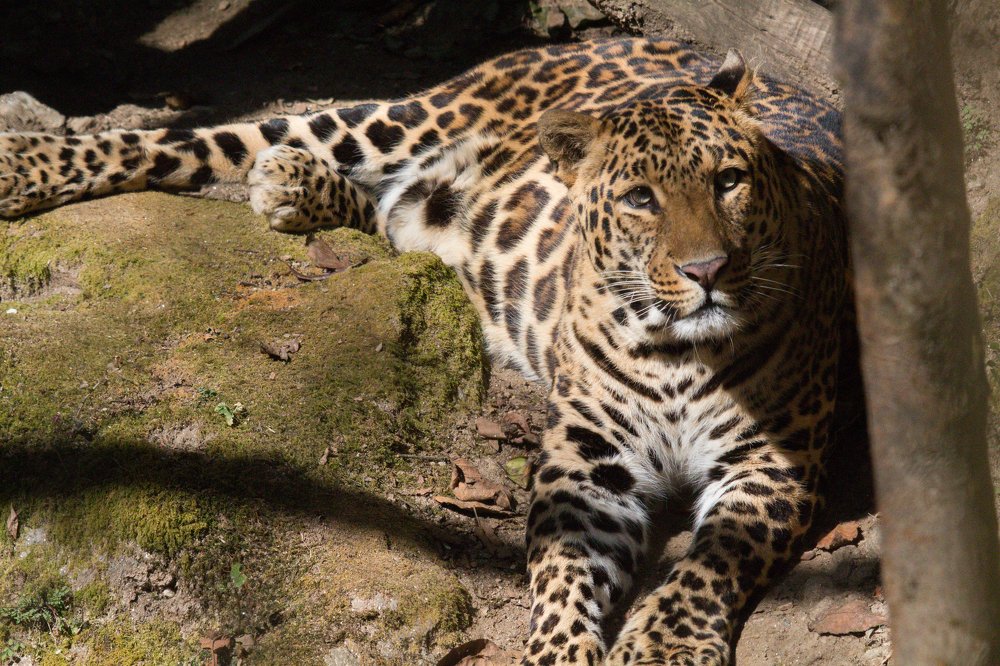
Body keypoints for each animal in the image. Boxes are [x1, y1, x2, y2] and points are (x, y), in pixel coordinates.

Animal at [0, 37, 847, 665]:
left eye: (730, 181)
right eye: (642, 198)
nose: (708, 271)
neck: (673, 349)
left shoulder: (775, 464)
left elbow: (711, 562)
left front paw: (667, 642)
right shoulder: (584, 456)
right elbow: (562, 568)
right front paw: (563, 649)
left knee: (378, 211)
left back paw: (296, 189)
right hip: (389, 117)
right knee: (187, 140)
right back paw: (25, 163)